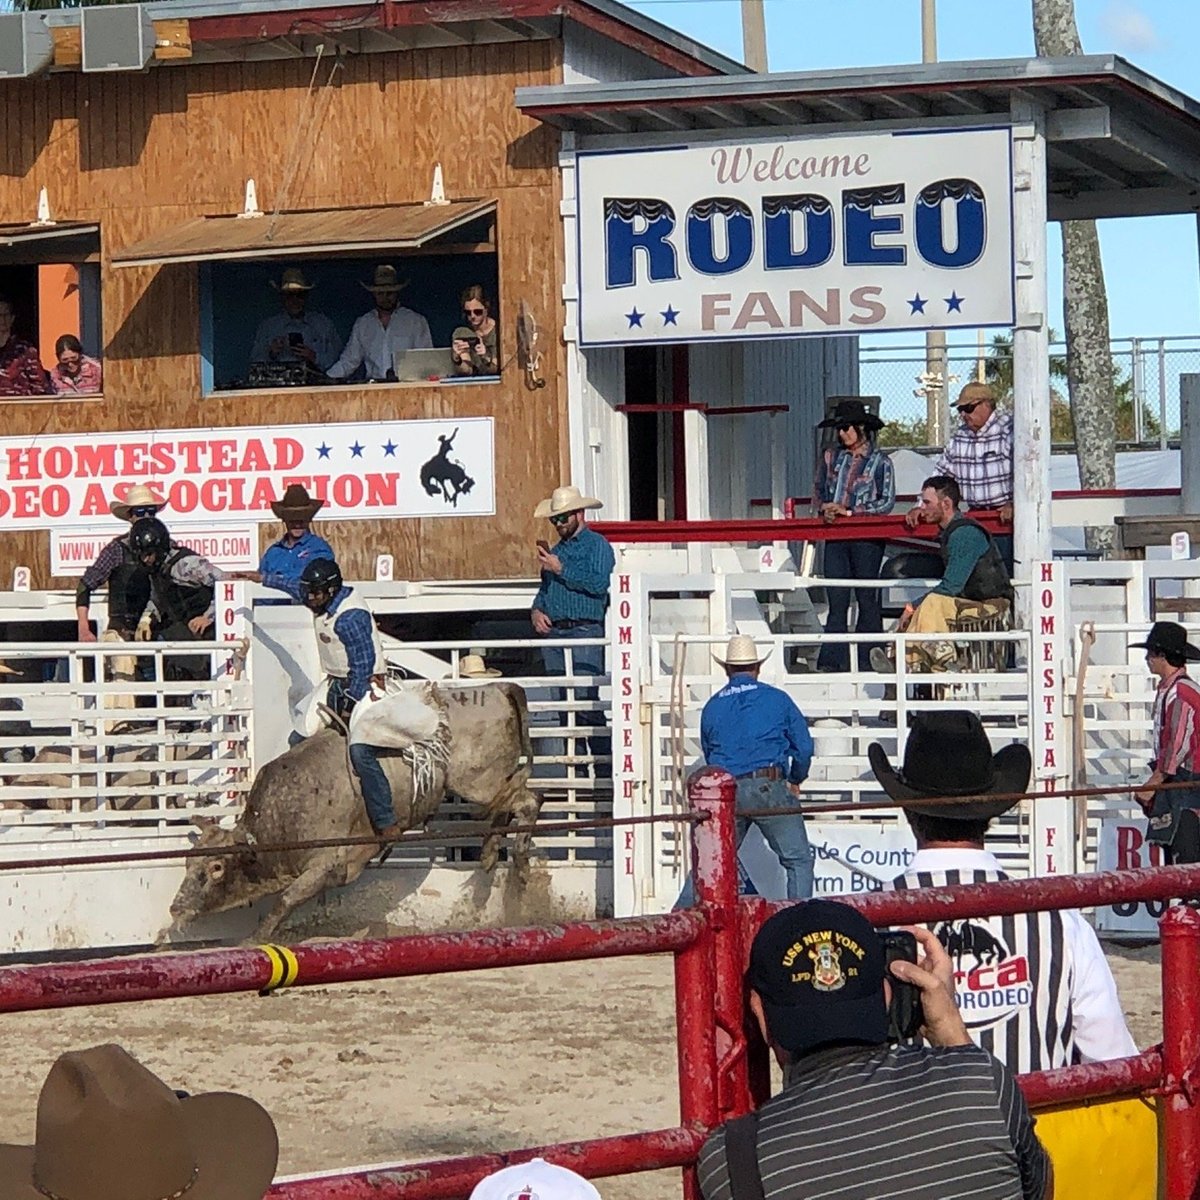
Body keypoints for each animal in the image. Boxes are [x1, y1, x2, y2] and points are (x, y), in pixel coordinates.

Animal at [166, 681, 542, 940]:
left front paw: (254, 940)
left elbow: (286, 901)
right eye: (187, 863)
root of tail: (497, 688)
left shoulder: (324, 864)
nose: (176, 907)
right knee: (511, 801)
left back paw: (522, 866)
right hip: (490, 783)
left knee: (528, 801)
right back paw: (490, 853)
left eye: (215, 868)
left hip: (478, 781)